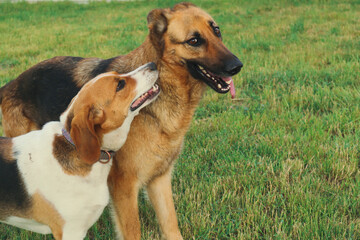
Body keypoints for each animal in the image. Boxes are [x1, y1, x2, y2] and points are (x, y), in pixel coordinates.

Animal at [0, 2, 243, 240]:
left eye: (216, 31)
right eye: (194, 41)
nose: (237, 66)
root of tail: (10, 84)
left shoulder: (160, 179)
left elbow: (171, 224)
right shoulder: (125, 186)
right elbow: (133, 230)